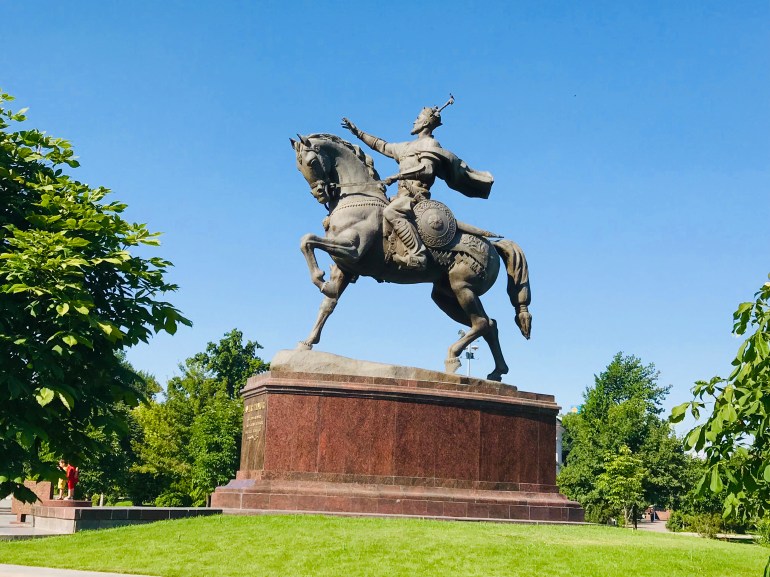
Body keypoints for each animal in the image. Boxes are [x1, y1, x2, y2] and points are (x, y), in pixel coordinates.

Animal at [288, 133, 528, 380]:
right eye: (298, 167)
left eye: (311, 162)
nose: (319, 194)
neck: (356, 200)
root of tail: (494, 246)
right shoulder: (345, 268)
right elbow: (327, 304)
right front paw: (306, 342)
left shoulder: (353, 249)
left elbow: (307, 240)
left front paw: (319, 278)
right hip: (445, 296)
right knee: (490, 324)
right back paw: (497, 372)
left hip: (462, 287)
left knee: (480, 323)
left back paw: (453, 357)